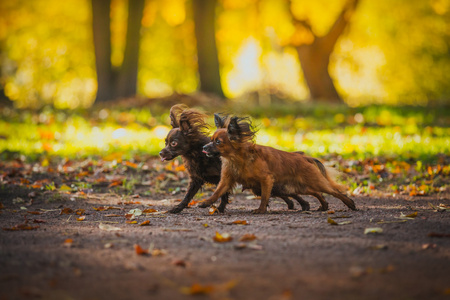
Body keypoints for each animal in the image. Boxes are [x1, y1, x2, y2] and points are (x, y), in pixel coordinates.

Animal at [202, 114, 356, 213]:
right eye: (211, 140)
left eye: (218, 142)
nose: (204, 147)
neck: (237, 159)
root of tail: (304, 158)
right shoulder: (226, 180)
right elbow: (217, 193)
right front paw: (206, 203)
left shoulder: (266, 180)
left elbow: (265, 197)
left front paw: (261, 210)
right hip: (296, 187)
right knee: (316, 193)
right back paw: (323, 206)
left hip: (313, 182)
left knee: (333, 191)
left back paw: (350, 204)